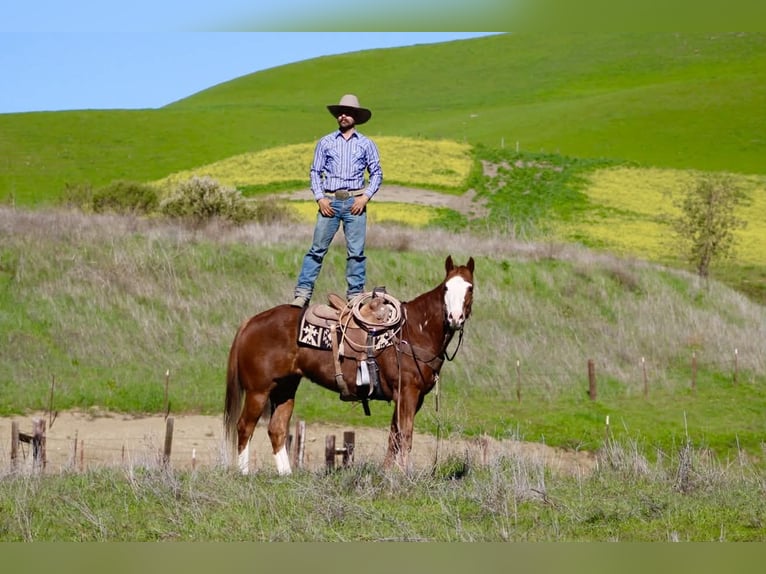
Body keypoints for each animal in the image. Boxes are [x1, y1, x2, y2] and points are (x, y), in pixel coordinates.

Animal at [223, 255, 475, 474]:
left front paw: (386, 474)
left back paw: (286, 474)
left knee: (276, 429)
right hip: (258, 391)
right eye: (446, 288)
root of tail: (251, 321)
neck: (414, 330)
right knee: (244, 427)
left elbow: (393, 436)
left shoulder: (408, 397)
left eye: (470, 288)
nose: (454, 318)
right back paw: (244, 473)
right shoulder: (408, 393)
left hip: (285, 388)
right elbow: (405, 436)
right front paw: (404, 476)